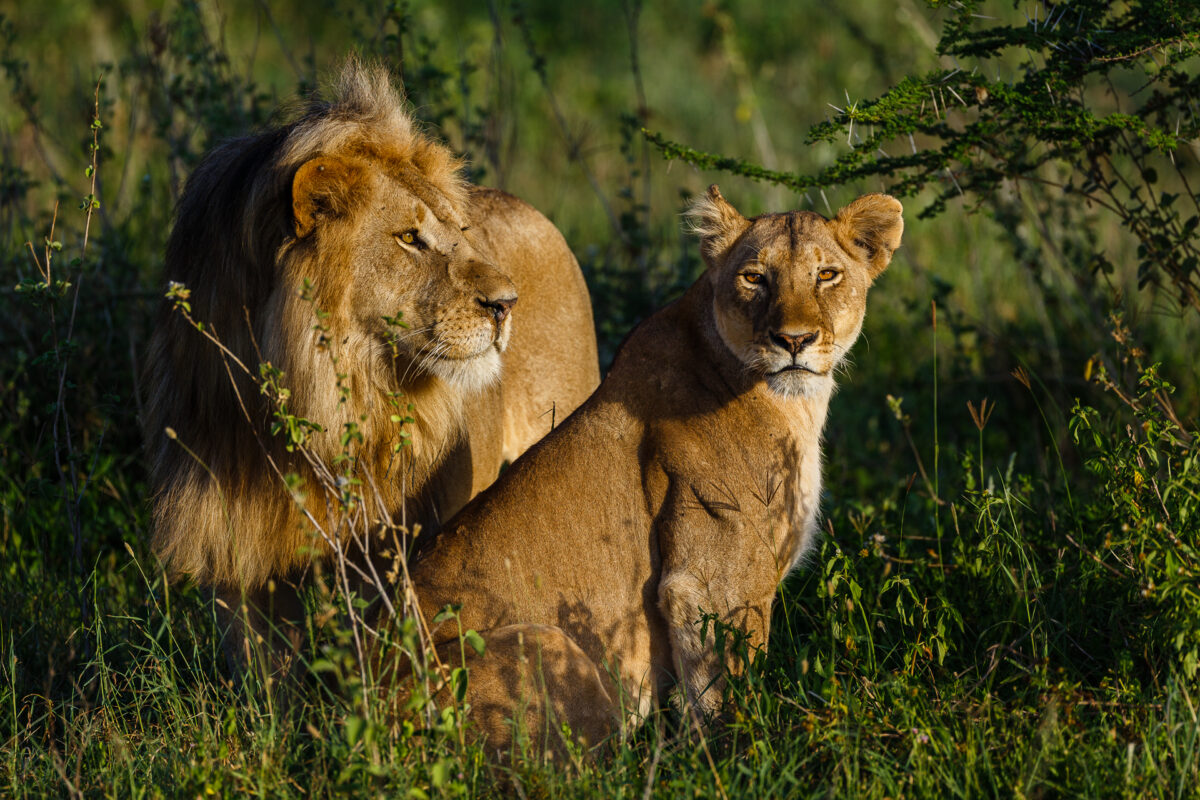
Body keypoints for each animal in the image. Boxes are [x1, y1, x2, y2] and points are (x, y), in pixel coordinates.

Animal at [401, 186, 903, 755]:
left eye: (827, 275)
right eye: (754, 277)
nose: (793, 340)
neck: (793, 402)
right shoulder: (710, 581)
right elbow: (727, 692)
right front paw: (739, 756)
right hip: (548, 643)